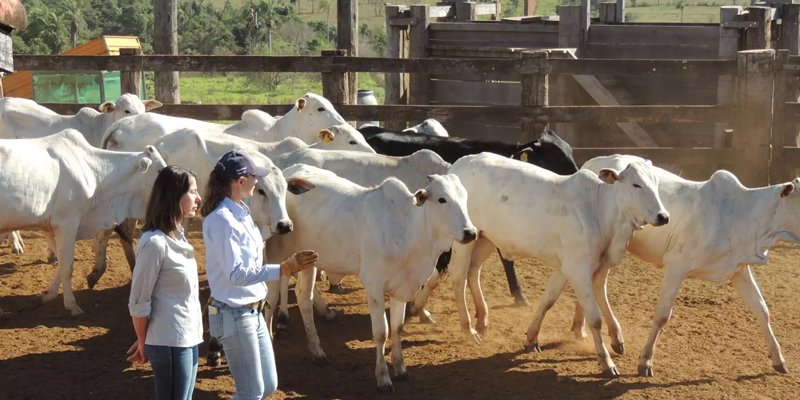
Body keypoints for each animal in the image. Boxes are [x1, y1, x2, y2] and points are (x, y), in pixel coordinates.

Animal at [0, 130, 167, 314]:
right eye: (160, 170)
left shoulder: (51, 227)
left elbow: (61, 263)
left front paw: (48, 295)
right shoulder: (67, 224)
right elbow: (67, 267)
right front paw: (72, 305)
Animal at [266, 164, 476, 392]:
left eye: (465, 197)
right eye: (442, 199)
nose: (470, 233)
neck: (407, 232)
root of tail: (290, 171)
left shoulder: (401, 288)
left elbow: (397, 327)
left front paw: (400, 368)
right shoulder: (374, 285)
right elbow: (381, 331)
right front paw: (383, 377)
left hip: (308, 260)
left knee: (304, 299)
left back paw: (317, 351)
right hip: (277, 256)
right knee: (271, 299)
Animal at [424, 152, 668, 376]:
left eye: (655, 183)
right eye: (636, 184)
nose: (663, 216)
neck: (598, 210)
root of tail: (460, 163)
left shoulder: (573, 268)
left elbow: (549, 300)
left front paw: (533, 338)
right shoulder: (578, 270)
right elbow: (594, 318)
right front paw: (606, 362)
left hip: (485, 238)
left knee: (473, 271)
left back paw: (482, 319)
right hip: (465, 238)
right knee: (458, 276)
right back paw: (468, 329)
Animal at [580, 155, 796, 376]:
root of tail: (592, 162)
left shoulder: (739, 270)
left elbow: (761, 310)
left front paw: (779, 360)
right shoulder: (676, 267)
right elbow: (662, 316)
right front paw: (645, 361)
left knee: (595, 285)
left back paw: (593, 333)